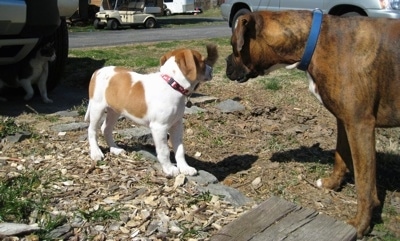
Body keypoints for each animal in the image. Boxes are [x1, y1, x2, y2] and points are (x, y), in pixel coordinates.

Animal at [85, 44, 219, 177]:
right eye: (203, 61)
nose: (212, 70)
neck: (172, 84)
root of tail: (97, 71)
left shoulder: (177, 125)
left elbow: (180, 149)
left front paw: (185, 168)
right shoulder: (159, 127)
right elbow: (164, 151)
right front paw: (169, 169)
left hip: (115, 110)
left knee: (105, 128)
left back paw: (115, 149)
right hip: (97, 108)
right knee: (92, 130)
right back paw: (96, 153)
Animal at [225, 10, 400, 237]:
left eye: (233, 45)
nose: (226, 62)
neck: (315, 41)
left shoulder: (360, 125)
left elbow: (364, 183)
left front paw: (360, 224)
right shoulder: (344, 121)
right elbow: (340, 156)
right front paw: (331, 184)